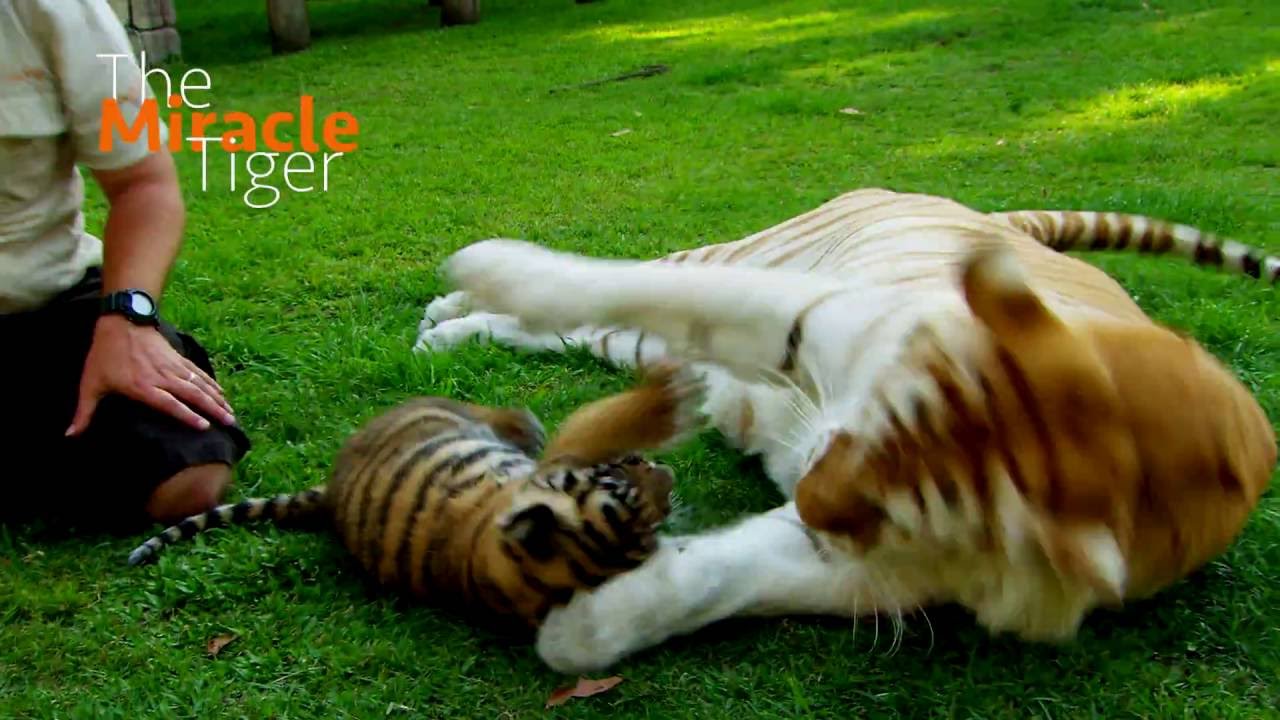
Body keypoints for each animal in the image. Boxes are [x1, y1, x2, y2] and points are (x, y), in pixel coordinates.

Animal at [126, 361, 705, 633]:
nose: (668, 475)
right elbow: (601, 423)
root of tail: (331, 493)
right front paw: (668, 391)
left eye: (652, 528)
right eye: (618, 483)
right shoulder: (557, 461)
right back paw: (522, 422)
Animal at [413, 186, 1279, 673]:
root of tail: (988, 215)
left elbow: (716, 580)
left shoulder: (863, 560)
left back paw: (448, 332)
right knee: (636, 278)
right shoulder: (806, 311)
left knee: (564, 333)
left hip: (649, 346)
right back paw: (454, 302)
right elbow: (619, 282)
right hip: (738, 259)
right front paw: (490, 262)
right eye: (876, 414)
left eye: (919, 513)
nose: (805, 491)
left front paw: (579, 632)